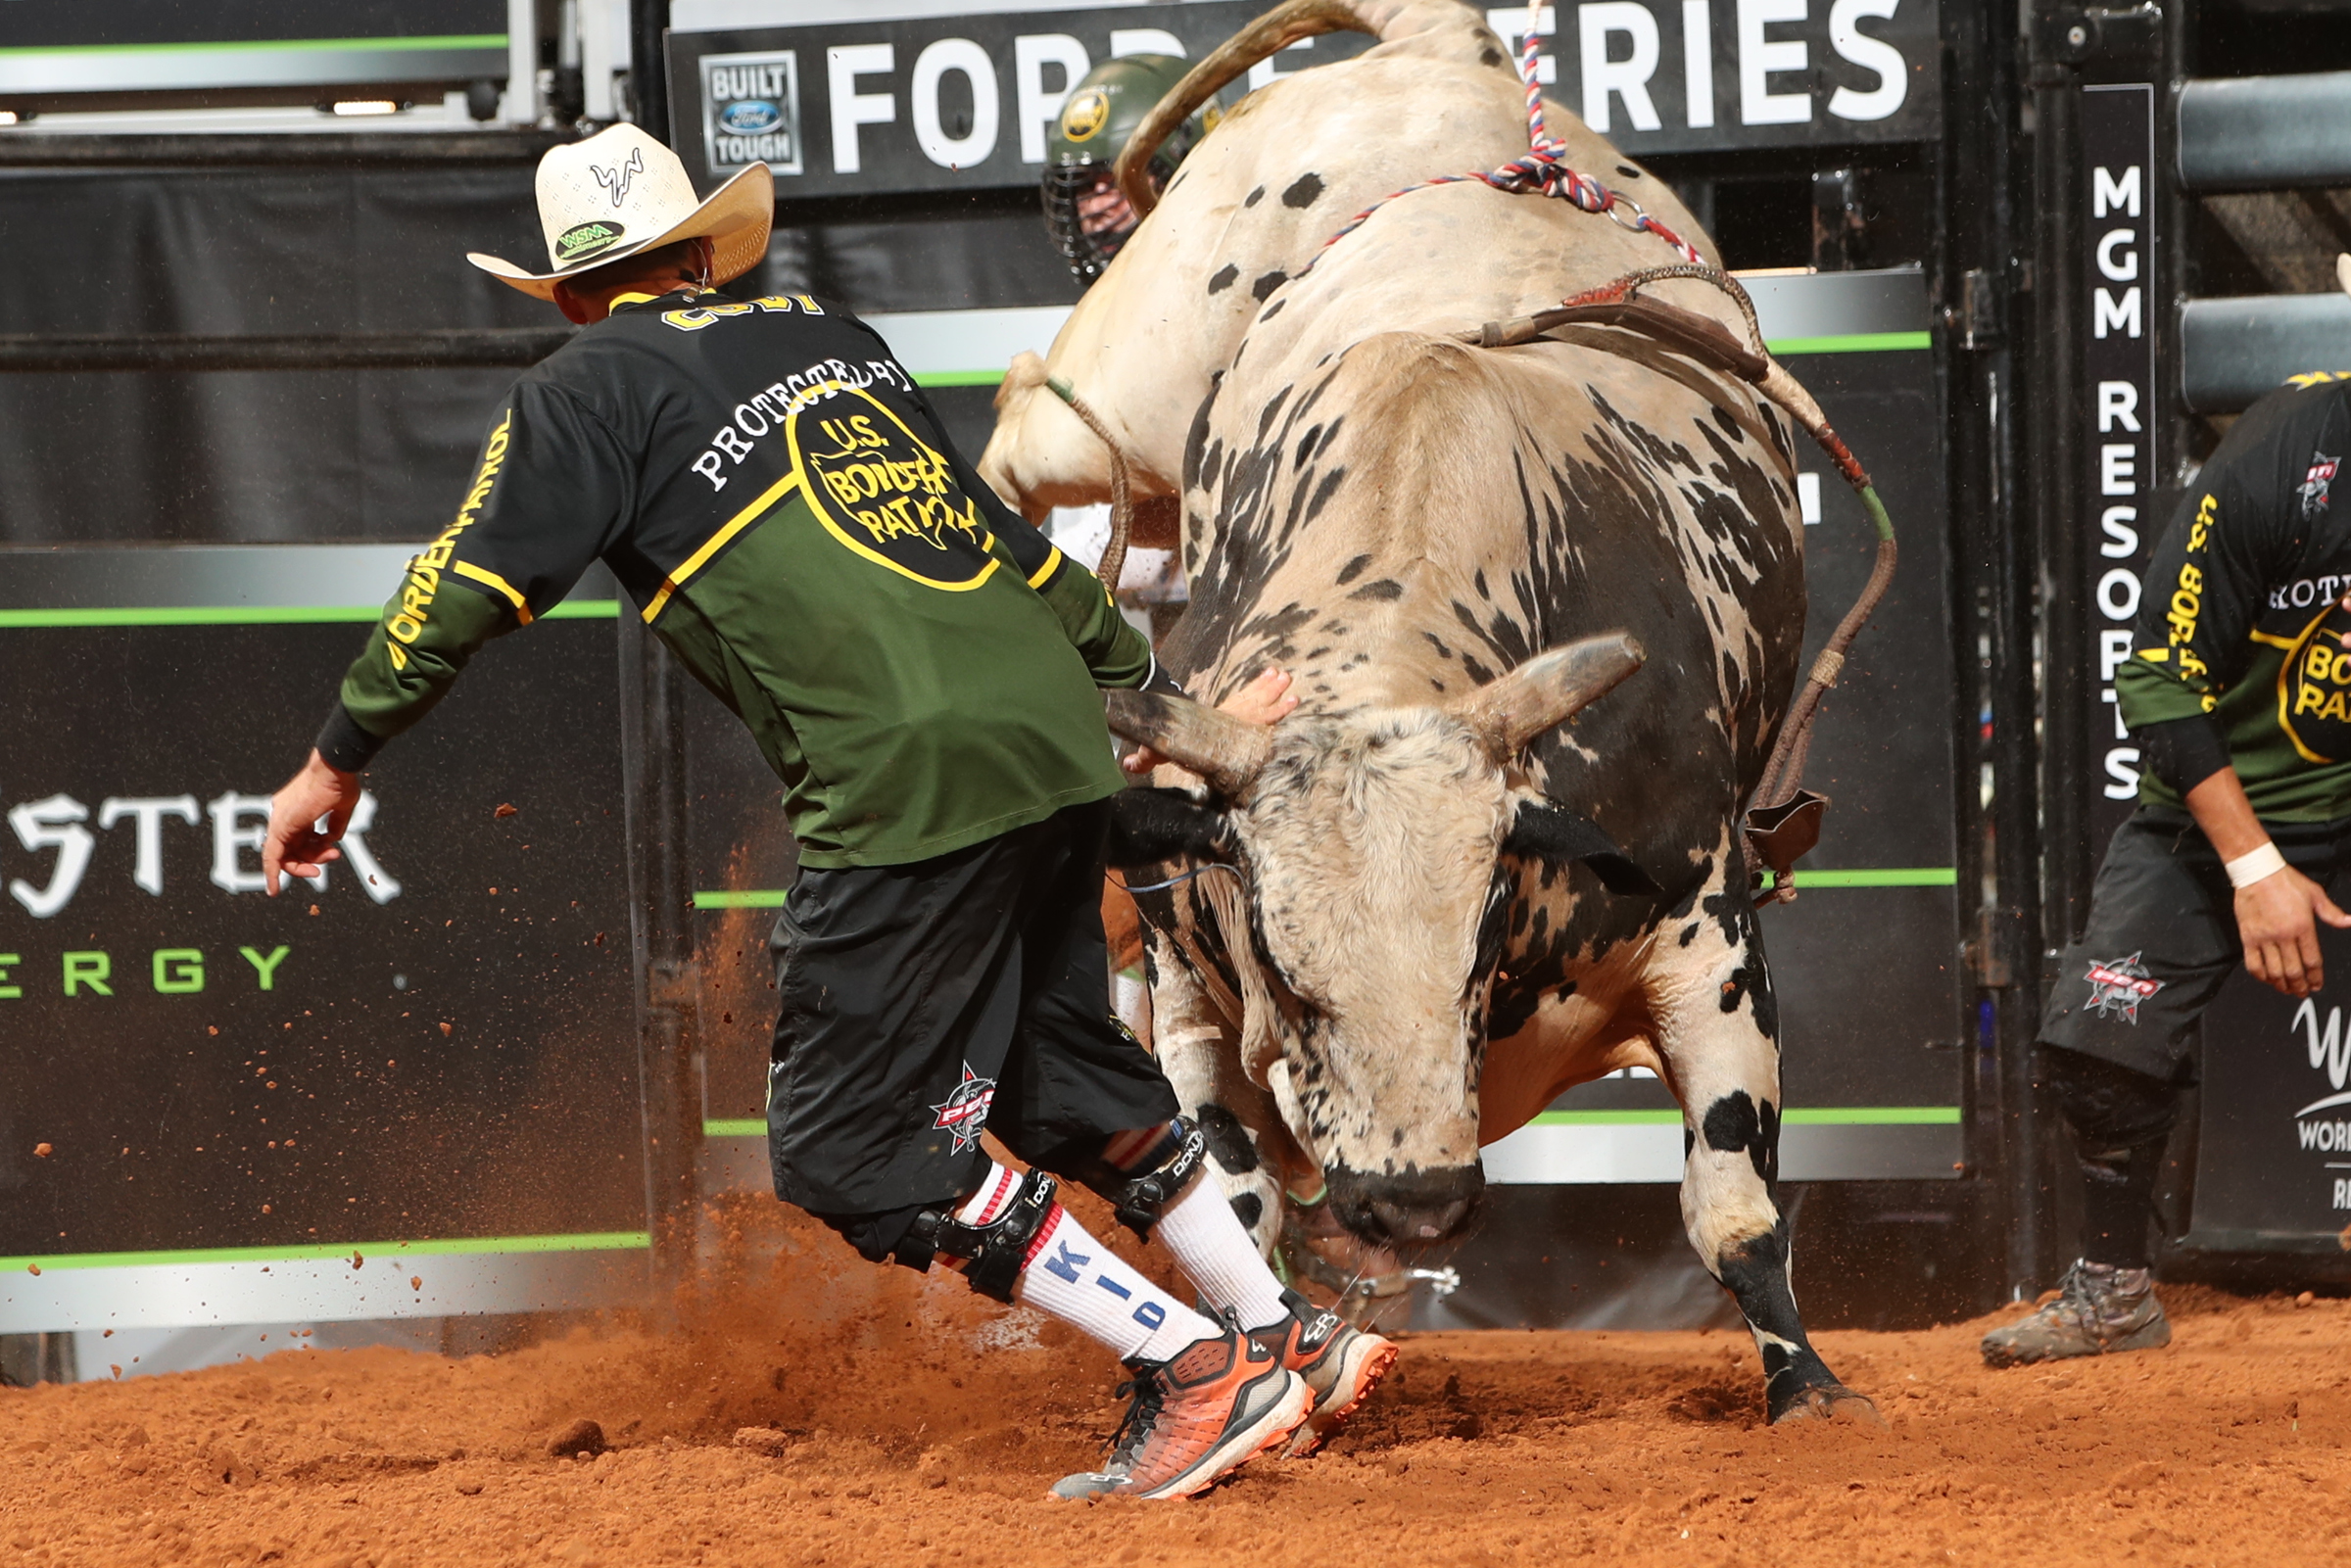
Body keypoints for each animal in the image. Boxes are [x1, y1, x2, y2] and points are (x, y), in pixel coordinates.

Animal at [983, 0, 1881, 1429]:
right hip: (1132, 359)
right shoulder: (1186, 977)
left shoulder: (1709, 934)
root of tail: (1445, 48)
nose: (1413, 1205)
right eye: (1288, 961)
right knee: (1034, 420)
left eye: (1477, 931)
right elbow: (1229, 1199)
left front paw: (1808, 1390)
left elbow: (1735, 1208)